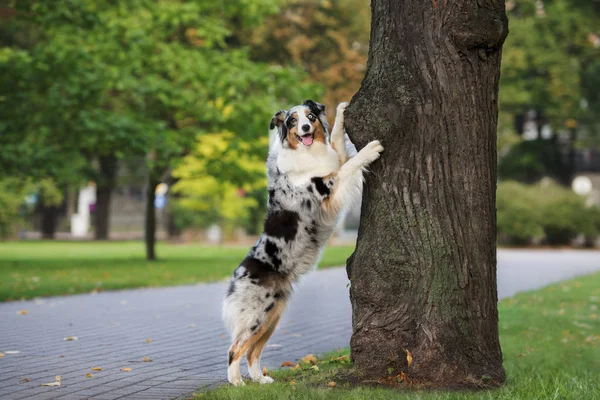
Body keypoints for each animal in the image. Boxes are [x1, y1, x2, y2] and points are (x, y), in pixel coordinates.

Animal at [221, 99, 384, 384]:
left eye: (310, 117)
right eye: (292, 121)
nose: (306, 128)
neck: (308, 153)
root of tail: (236, 274)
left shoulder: (333, 161)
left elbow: (338, 143)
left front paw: (341, 111)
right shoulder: (326, 186)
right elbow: (350, 166)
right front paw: (370, 149)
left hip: (272, 315)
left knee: (253, 350)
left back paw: (260, 380)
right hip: (255, 316)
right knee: (234, 349)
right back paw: (237, 382)